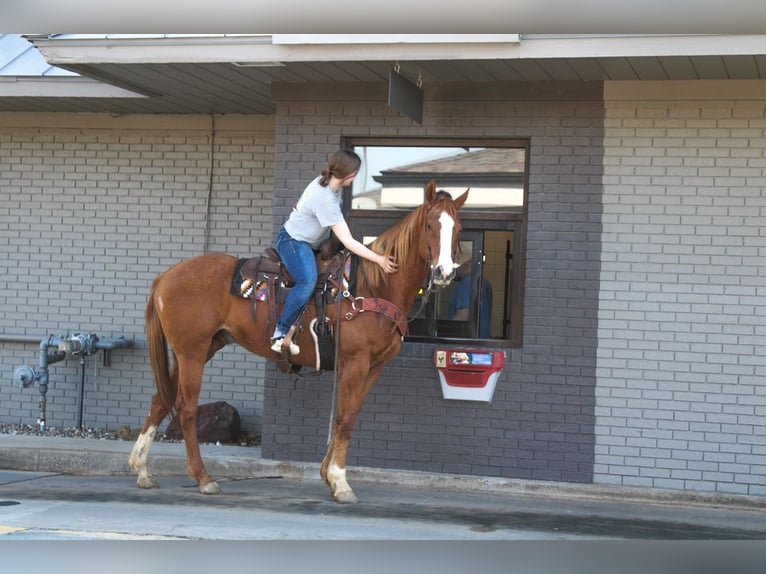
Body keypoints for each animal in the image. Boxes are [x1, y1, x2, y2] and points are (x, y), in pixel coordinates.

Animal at [128, 180, 468, 503]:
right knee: (185, 408)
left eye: (458, 228)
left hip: (201, 348)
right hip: (192, 352)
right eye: (429, 225)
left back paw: (142, 470)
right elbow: (344, 418)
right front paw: (340, 482)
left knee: (160, 400)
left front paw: (329, 476)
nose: (444, 271)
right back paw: (203, 478)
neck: (374, 286)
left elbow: (347, 417)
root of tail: (166, 276)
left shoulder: (373, 367)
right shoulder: (355, 362)